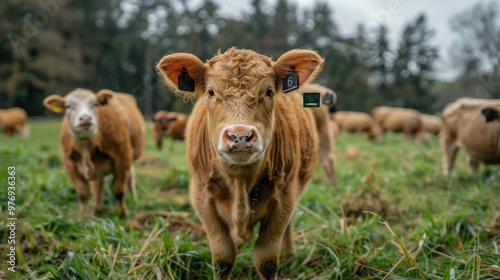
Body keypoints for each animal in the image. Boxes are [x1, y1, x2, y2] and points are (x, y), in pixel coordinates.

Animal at [42, 88, 146, 218]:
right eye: (68, 106)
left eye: (95, 104)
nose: (85, 118)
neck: (87, 146)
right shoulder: (69, 164)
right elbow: (83, 193)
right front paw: (83, 216)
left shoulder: (123, 157)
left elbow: (118, 190)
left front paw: (122, 214)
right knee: (98, 184)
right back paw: (97, 210)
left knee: (130, 178)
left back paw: (134, 199)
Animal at [157, 47, 324, 278]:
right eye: (211, 92)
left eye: (269, 92)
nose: (240, 136)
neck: (240, 180)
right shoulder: (201, 196)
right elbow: (223, 257)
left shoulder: (284, 196)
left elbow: (266, 259)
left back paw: (289, 257)